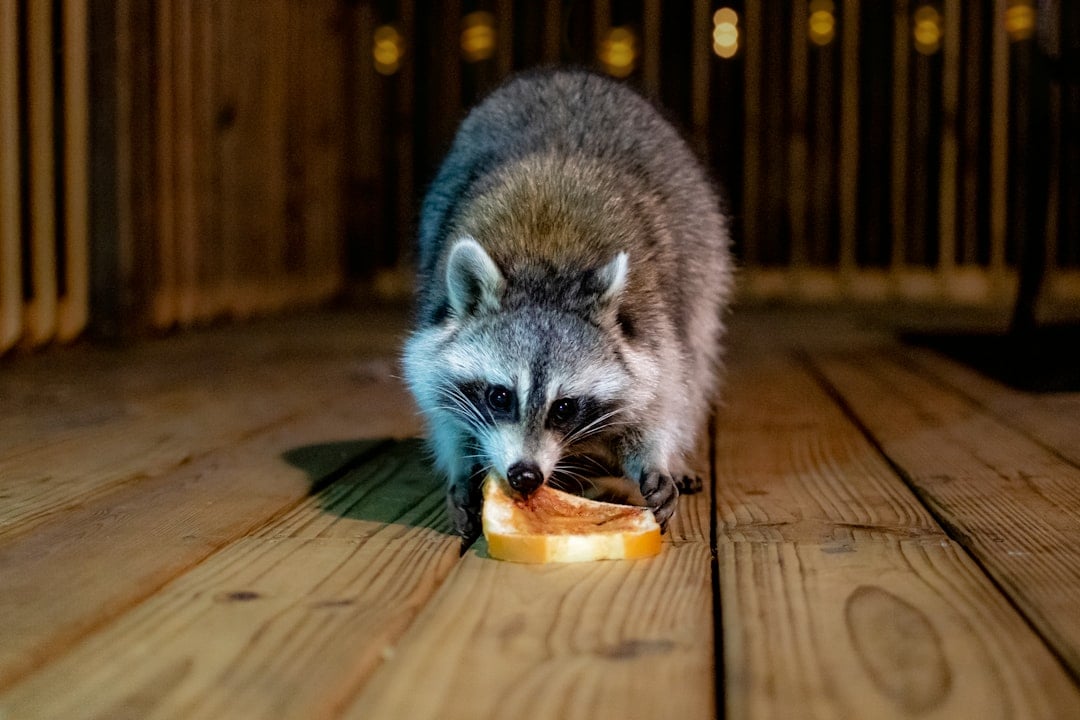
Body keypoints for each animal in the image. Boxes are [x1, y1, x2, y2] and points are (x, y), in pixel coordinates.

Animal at [402, 69, 733, 542]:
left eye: (564, 408)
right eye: (500, 396)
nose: (524, 476)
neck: (545, 270)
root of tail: (562, 74)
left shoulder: (652, 325)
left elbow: (662, 391)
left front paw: (655, 456)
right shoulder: (434, 325)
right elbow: (438, 397)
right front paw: (462, 467)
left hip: (704, 250)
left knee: (698, 356)